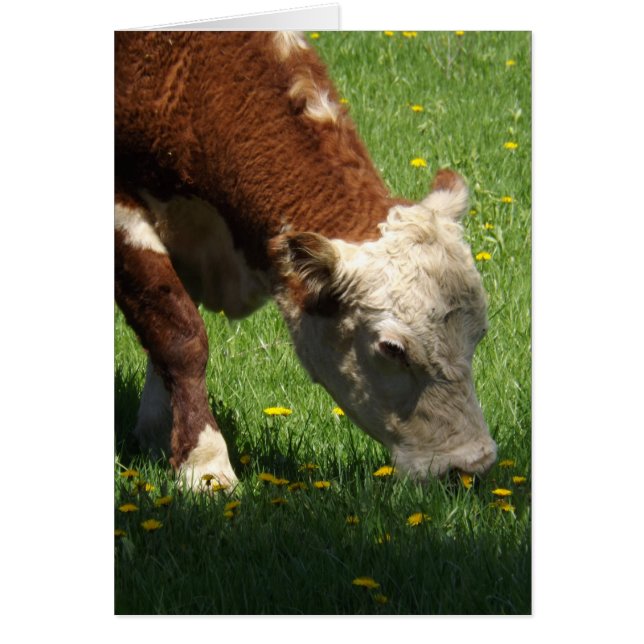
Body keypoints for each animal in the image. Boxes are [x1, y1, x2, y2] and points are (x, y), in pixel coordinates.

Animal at [115, 31, 497, 488]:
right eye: (391, 348)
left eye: (479, 333)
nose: (470, 465)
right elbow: (180, 335)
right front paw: (204, 465)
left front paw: (158, 435)